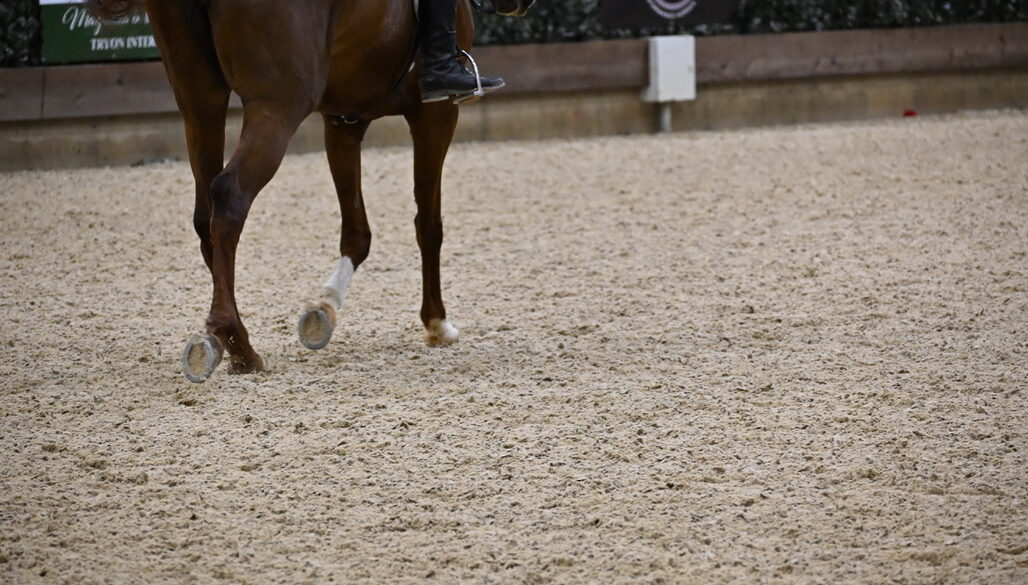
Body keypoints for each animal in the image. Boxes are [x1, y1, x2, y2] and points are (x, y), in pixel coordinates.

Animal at [87, 0, 534, 382]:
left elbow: (357, 232)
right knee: (230, 197)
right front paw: (437, 322)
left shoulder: (343, 121)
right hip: (279, 105)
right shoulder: (436, 113)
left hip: (199, 101)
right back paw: (235, 343)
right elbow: (429, 223)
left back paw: (229, 343)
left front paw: (323, 311)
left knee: (205, 215)